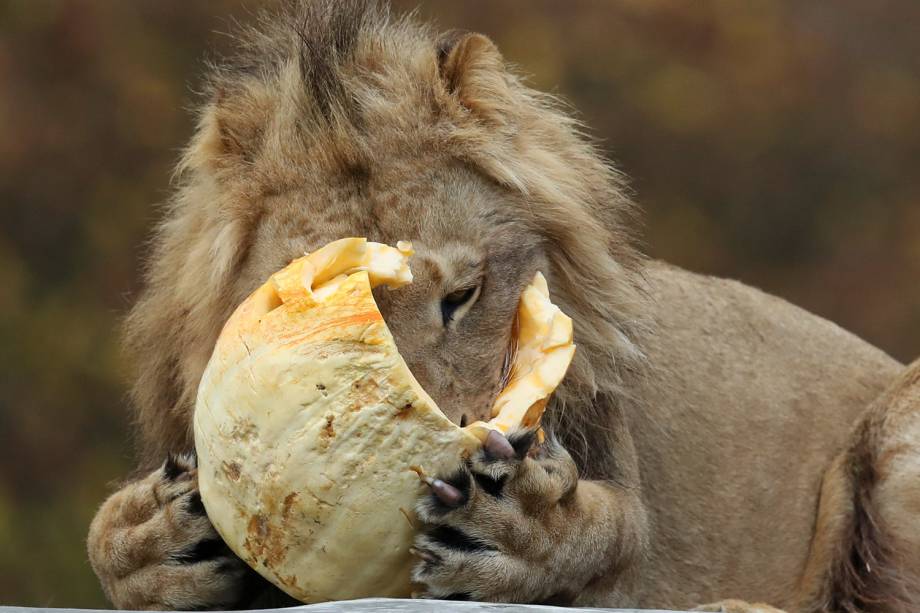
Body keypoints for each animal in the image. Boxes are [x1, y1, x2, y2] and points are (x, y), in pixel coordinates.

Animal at [86, 2, 920, 608]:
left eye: (462, 296)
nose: (455, 436)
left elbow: (615, 531)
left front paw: (517, 528)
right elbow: (103, 541)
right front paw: (148, 538)